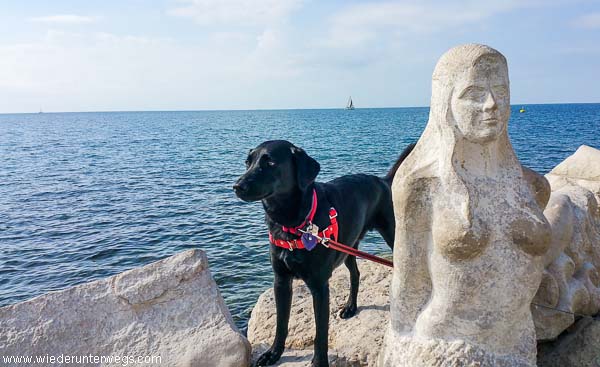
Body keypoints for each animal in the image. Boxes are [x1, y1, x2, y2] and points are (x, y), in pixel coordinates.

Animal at [233, 139, 412, 366]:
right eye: (248, 162)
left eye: (271, 162)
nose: (237, 186)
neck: (292, 225)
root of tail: (382, 180)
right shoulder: (281, 281)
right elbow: (281, 323)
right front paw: (273, 353)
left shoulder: (319, 286)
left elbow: (321, 333)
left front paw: (319, 362)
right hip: (347, 247)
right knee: (355, 274)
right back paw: (350, 307)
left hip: (391, 234)